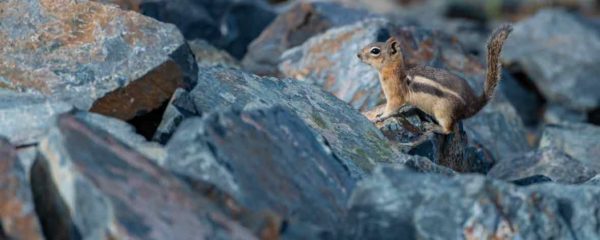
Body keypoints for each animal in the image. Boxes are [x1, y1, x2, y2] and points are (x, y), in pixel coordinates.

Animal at [358, 24, 512, 135]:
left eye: (375, 50)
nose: (358, 55)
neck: (394, 72)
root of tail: (473, 104)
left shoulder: (396, 95)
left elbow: (392, 107)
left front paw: (381, 116)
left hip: (444, 112)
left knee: (449, 130)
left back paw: (433, 127)